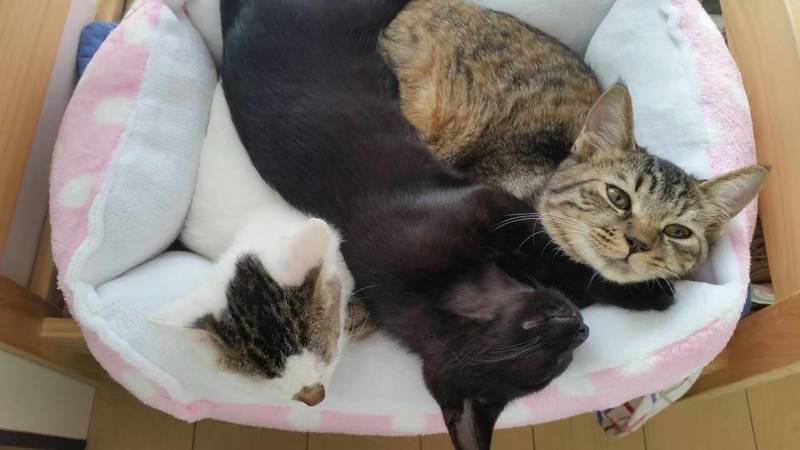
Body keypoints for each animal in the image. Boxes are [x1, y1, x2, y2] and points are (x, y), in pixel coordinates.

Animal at [220, 0, 592, 448]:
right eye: (557, 363)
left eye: (537, 322)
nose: (582, 328)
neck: (437, 288)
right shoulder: (492, 204)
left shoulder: (486, 204)